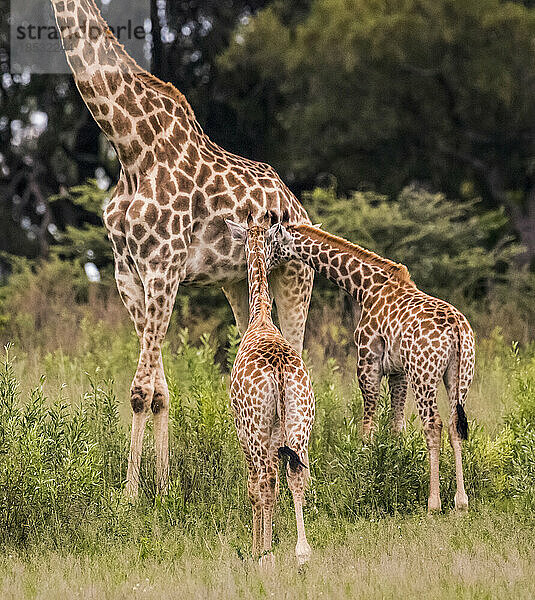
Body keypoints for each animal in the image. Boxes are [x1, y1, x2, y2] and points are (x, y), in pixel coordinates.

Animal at [50, 0, 314, 496]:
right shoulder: (128, 274)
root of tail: (299, 208)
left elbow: (140, 391)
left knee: (301, 360)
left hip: (296, 279)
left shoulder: (164, 267)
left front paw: (131, 497)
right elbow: (159, 390)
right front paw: (164, 487)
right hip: (238, 286)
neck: (128, 145)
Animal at [225, 218, 314, 564]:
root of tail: (278, 368)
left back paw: (265, 554)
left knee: (264, 480)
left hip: (256, 428)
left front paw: (256, 548)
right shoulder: (279, 437)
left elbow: (253, 488)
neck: (261, 316)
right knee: (296, 473)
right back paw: (302, 552)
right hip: (301, 421)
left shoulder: (242, 431)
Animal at [266, 223, 476, 512]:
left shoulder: (367, 362)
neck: (365, 287)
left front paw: (365, 476)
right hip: (459, 375)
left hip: (424, 375)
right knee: (456, 423)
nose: (261, 262)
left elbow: (368, 428)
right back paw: (460, 500)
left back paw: (434, 503)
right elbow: (396, 427)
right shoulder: (399, 372)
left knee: (434, 425)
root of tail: (457, 328)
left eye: (269, 240)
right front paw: (396, 473)